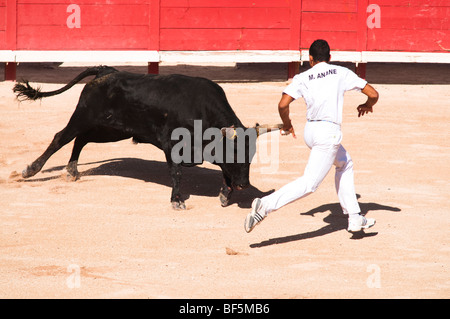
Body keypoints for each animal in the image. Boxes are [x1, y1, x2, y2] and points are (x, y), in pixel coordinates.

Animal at [13, 65, 282, 210]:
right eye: (233, 152)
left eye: (251, 155)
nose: (244, 184)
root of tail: (106, 71)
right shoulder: (172, 146)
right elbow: (177, 173)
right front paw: (176, 201)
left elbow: (224, 171)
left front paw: (225, 195)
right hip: (83, 116)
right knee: (61, 137)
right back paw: (30, 170)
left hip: (111, 131)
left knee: (81, 140)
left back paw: (72, 171)